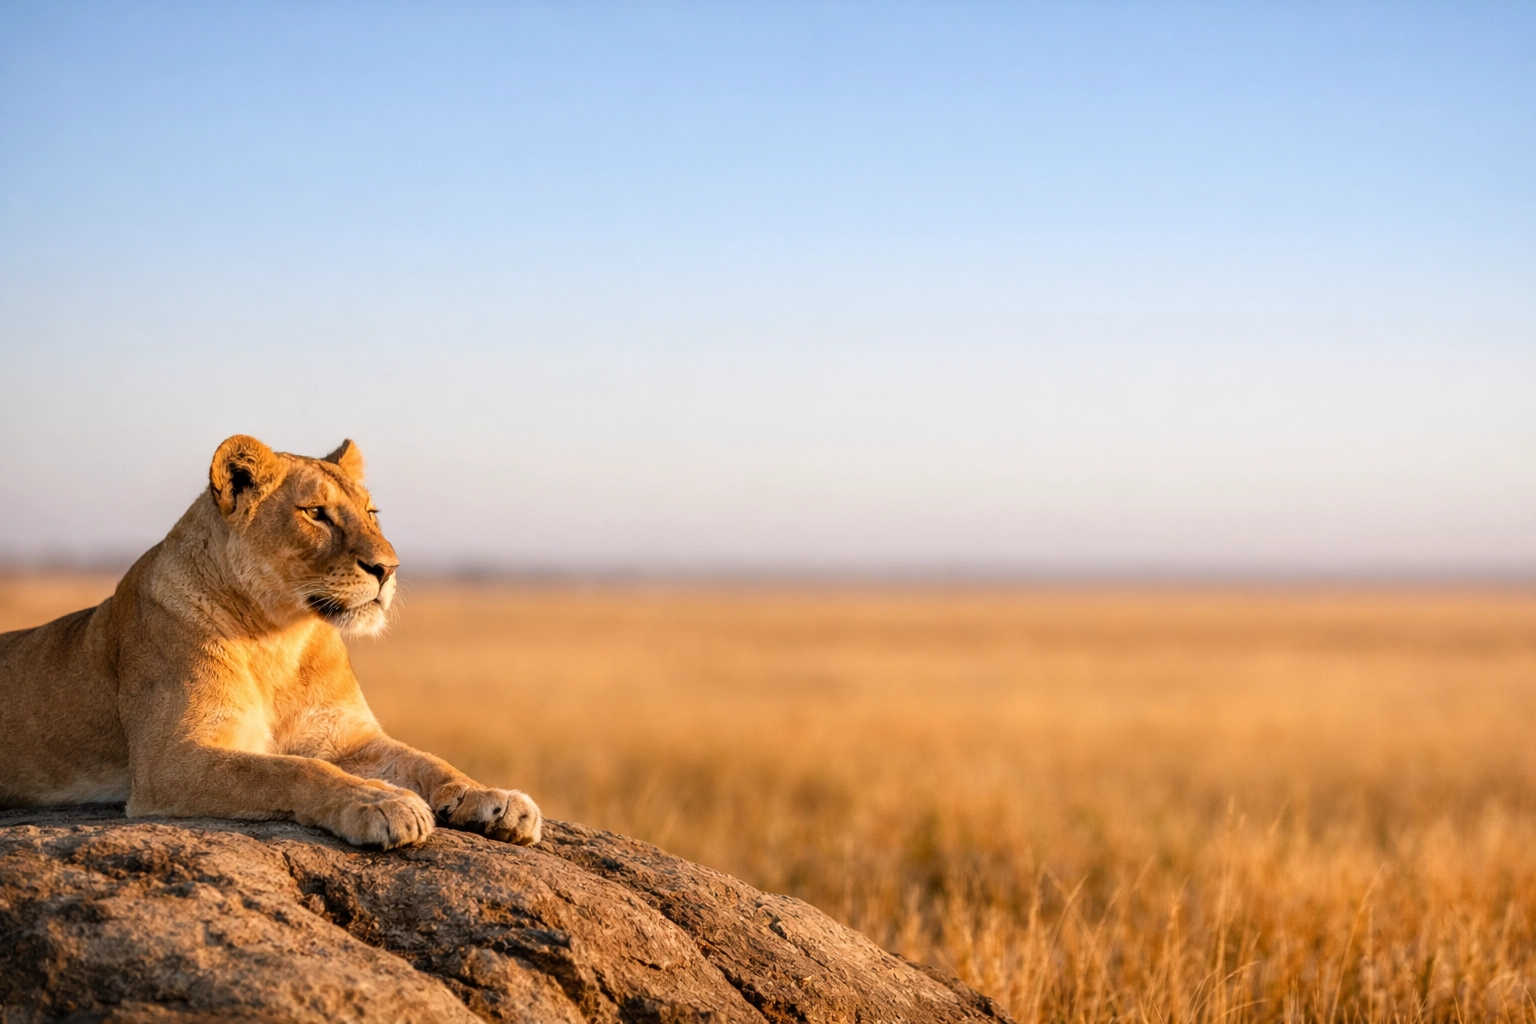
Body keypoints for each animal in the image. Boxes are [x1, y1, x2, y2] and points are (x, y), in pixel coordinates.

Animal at [0, 435, 540, 850]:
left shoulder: (348, 737)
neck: (279, 637)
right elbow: (294, 771)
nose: (388, 569)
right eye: (316, 513)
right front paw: (381, 801)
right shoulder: (167, 760)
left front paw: (493, 799)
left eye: (372, 512)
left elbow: (425, 759)